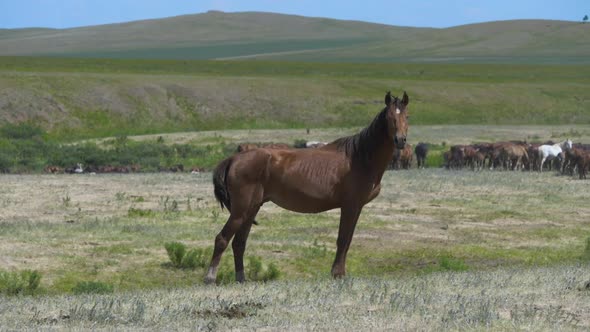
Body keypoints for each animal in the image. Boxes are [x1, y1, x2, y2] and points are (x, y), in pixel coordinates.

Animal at [205, 91, 412, 286]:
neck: (359, 158)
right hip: (240, 210)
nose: (400, 140)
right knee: (222, 239)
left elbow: (348, 240)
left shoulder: (356, 207)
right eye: (389, 117)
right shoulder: (350, 206)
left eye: (407, 116)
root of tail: (234, 158)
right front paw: (337, 274)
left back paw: (241, 279)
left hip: (252, 208)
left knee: (239, 243)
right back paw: (210, 278)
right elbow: (342, 239)